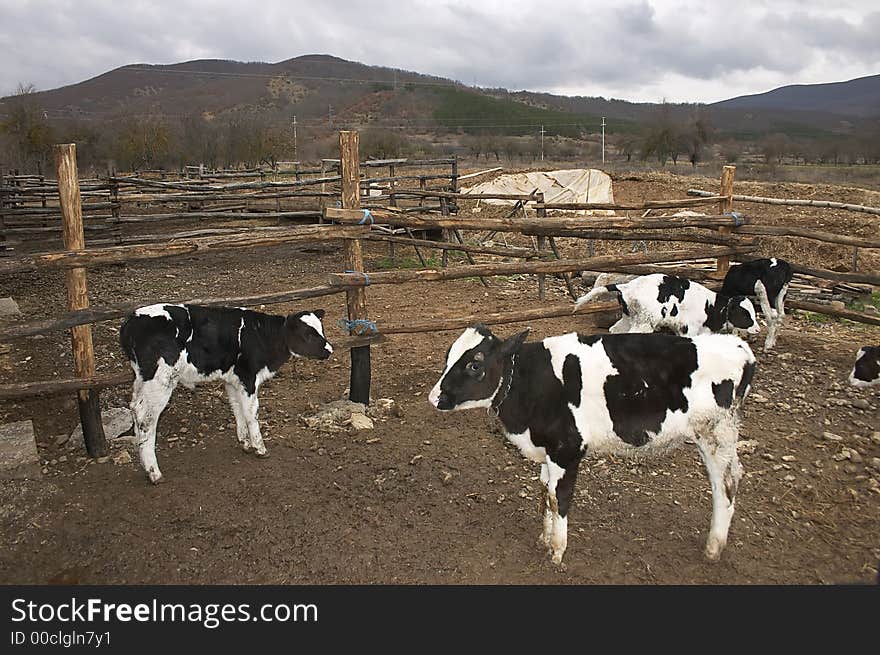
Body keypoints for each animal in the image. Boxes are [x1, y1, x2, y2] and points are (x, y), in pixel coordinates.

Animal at [118, 304, 332, 484]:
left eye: (321, 329)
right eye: (308, 334)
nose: (330, 350)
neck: (261, 335)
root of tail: (131, 320)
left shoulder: (232, 380)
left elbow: (237, 409)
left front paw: (245, 442)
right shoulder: (248, 377)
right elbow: (251, 413)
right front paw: (260, 447)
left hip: (141, 378)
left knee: (135, 408)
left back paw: (143, 461)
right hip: (161, 380)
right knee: (147, 419)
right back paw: (154, 472)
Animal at [428, 326, 756, 568]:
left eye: (475, 364)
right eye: (448, 357)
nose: (434, 397)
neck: (530, 382)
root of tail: (739, 347)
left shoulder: (567, 449)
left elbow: (559, 498)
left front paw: (557, 551)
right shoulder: (548, 452)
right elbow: (545, 493)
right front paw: (545, 538)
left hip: (716, 434)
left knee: (726, 485)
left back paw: (713, 547)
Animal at [576, 274, 760, 340]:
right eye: (745, 314)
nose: (758, 329)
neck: (711, 307)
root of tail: (627, 286)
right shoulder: (689, 329)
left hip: (628, 318)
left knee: (615, 330)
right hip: (644, 323)